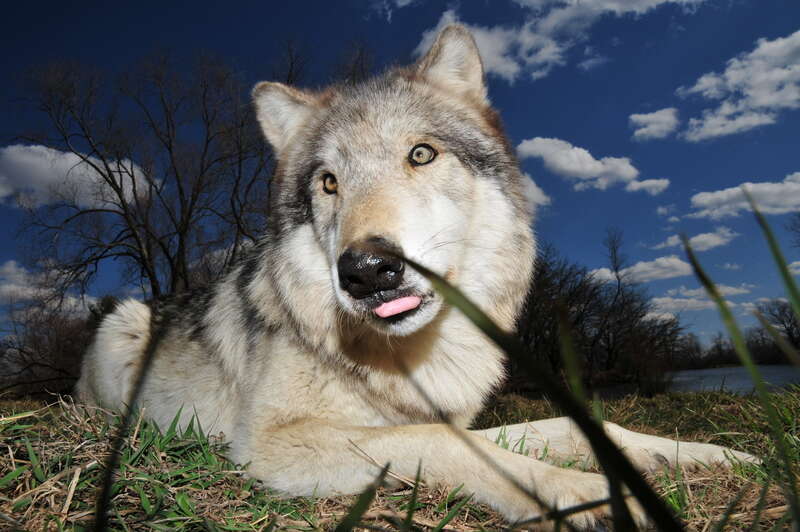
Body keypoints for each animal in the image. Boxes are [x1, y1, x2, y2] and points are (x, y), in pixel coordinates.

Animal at [76, 25, 754, 528]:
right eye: (329, 183)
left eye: (421, 154)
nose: (367, 270)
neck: (413, 356)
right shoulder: (273, 442)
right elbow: (444, 443)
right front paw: (584, 493)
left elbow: (572, 424)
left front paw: (707, 455)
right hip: (123, 322)